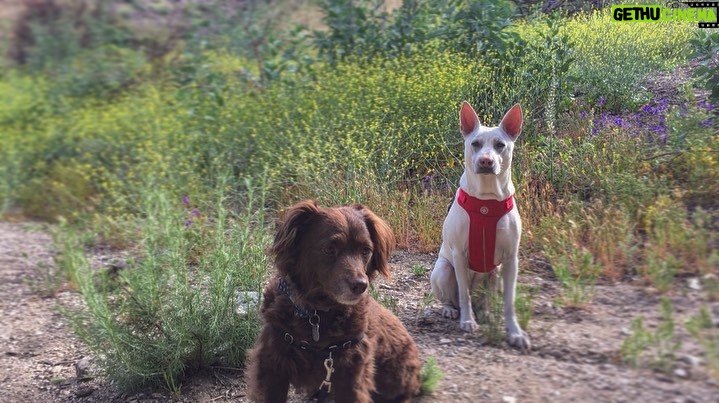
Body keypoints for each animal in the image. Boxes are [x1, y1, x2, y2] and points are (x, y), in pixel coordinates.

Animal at [248, 200, 422, 402]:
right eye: (329, 249)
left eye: (366, 250)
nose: (360, 285)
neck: (316, 314)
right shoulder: (273, 365)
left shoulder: (351, 374)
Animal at [430, 100, 532, 350]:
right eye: (475, 143)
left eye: (500, 145)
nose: (486, 161)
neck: (486, 200)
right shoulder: (458, 254)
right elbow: (464, 294)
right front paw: (467, 322)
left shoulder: (511, 259)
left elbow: (509, 302)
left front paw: (515, 332)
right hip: (443, 270)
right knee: (455, 298)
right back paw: (451, 310)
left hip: (495, 271)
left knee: (484, 298)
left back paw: (485, 312)